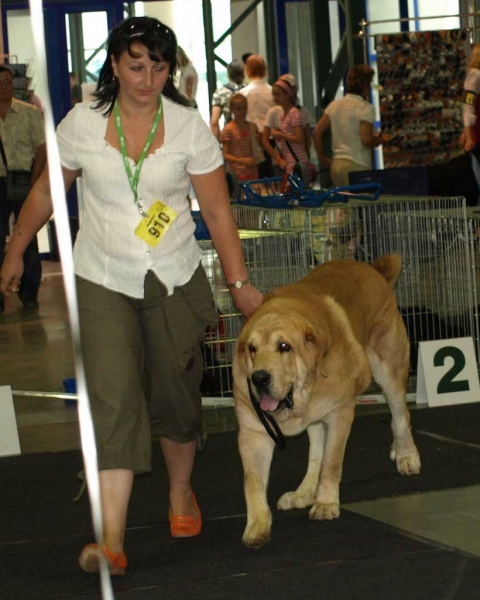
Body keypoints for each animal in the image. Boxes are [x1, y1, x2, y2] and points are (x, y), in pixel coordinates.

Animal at [232, 255, 420, 548]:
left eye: (284, 347)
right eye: (252, 349)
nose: (259, 378)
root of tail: (374, 269)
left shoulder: (339, 412)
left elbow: (332, 463)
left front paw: (326, 504)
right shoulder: (253, 432)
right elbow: (253, 482)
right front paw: (257, 526)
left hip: (388, 367)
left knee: (400, 415)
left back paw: (406, 455)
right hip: (317, 416)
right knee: (316, 452)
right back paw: (303, 492)